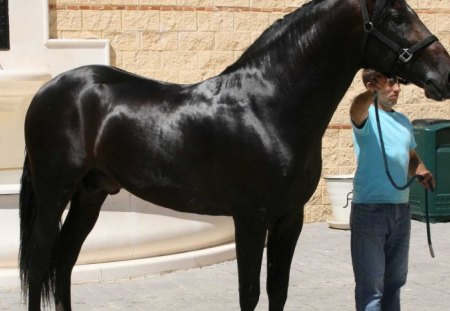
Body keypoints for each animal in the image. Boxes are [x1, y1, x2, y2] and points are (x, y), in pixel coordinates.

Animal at [18, 0, 450, 310]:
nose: (445, 75)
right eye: (396, 17)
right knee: (39, 265)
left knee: (64, 262)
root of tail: (48, 91)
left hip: (89, 194)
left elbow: (278, 291)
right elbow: (250, 293)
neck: (268, 108)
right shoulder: (250, 219)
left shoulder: (288, 219)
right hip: (54, 193)